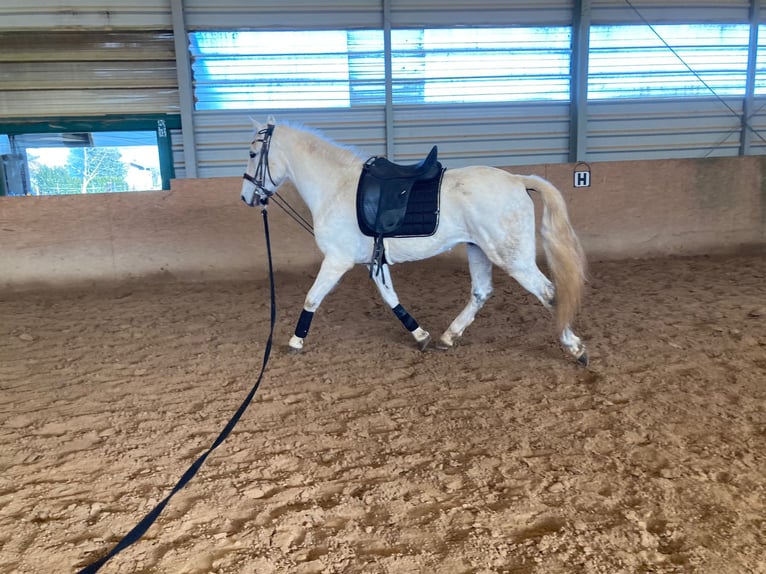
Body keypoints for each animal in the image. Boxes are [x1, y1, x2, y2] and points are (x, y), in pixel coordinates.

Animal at [243, 119, 592, 366]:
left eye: (251, 154)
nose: (247, 197)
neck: (337, 187)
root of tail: (518, 180)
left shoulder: (337, 260)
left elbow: (312, 298)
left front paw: (295, 341)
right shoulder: (373, 262)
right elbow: (391, 298)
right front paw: (420, 335)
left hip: (512, 257)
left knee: (548, 293)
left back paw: (575, 349)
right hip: (479, 249)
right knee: (481, 293)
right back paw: (448, 337)